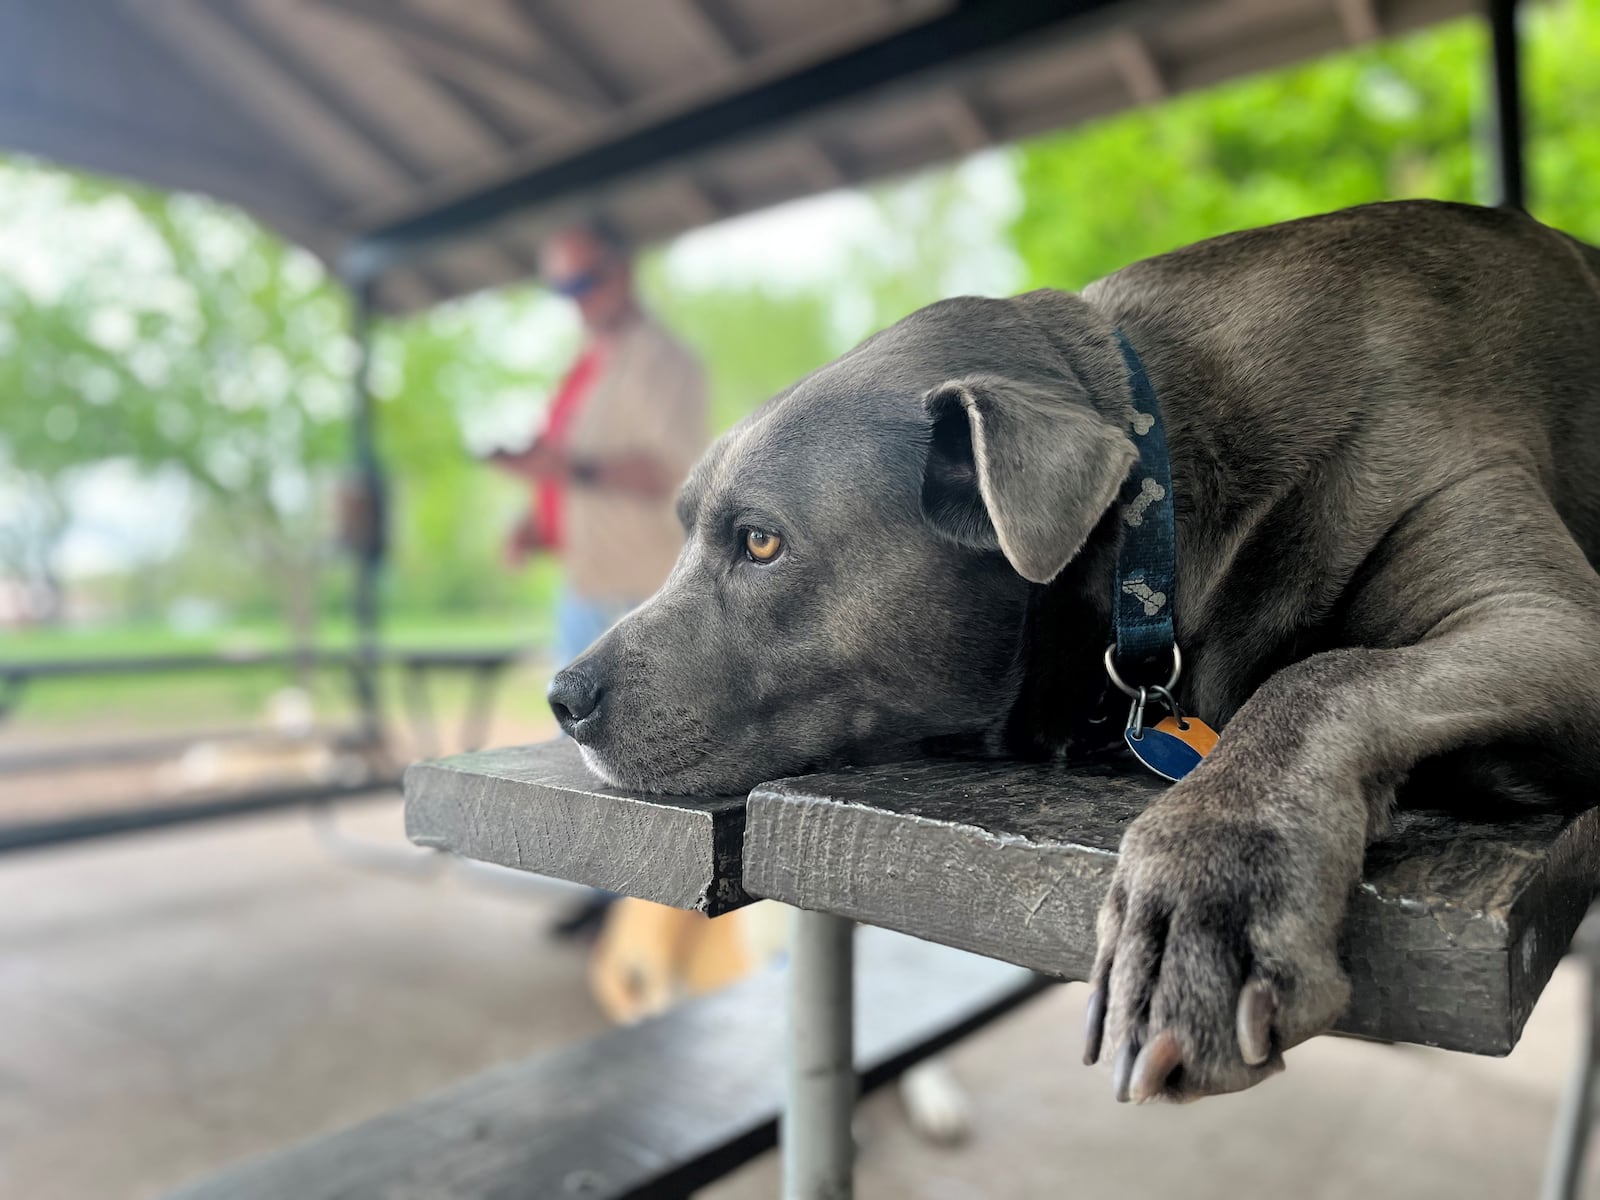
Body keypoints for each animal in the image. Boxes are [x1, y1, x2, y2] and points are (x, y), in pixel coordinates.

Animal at [547, 200, 1600, 1107]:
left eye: (760, 541)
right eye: (686, 530)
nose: (563, 696)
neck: (1154, 501)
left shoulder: (1550, 619)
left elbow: (1322, 675)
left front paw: (1212, 884)